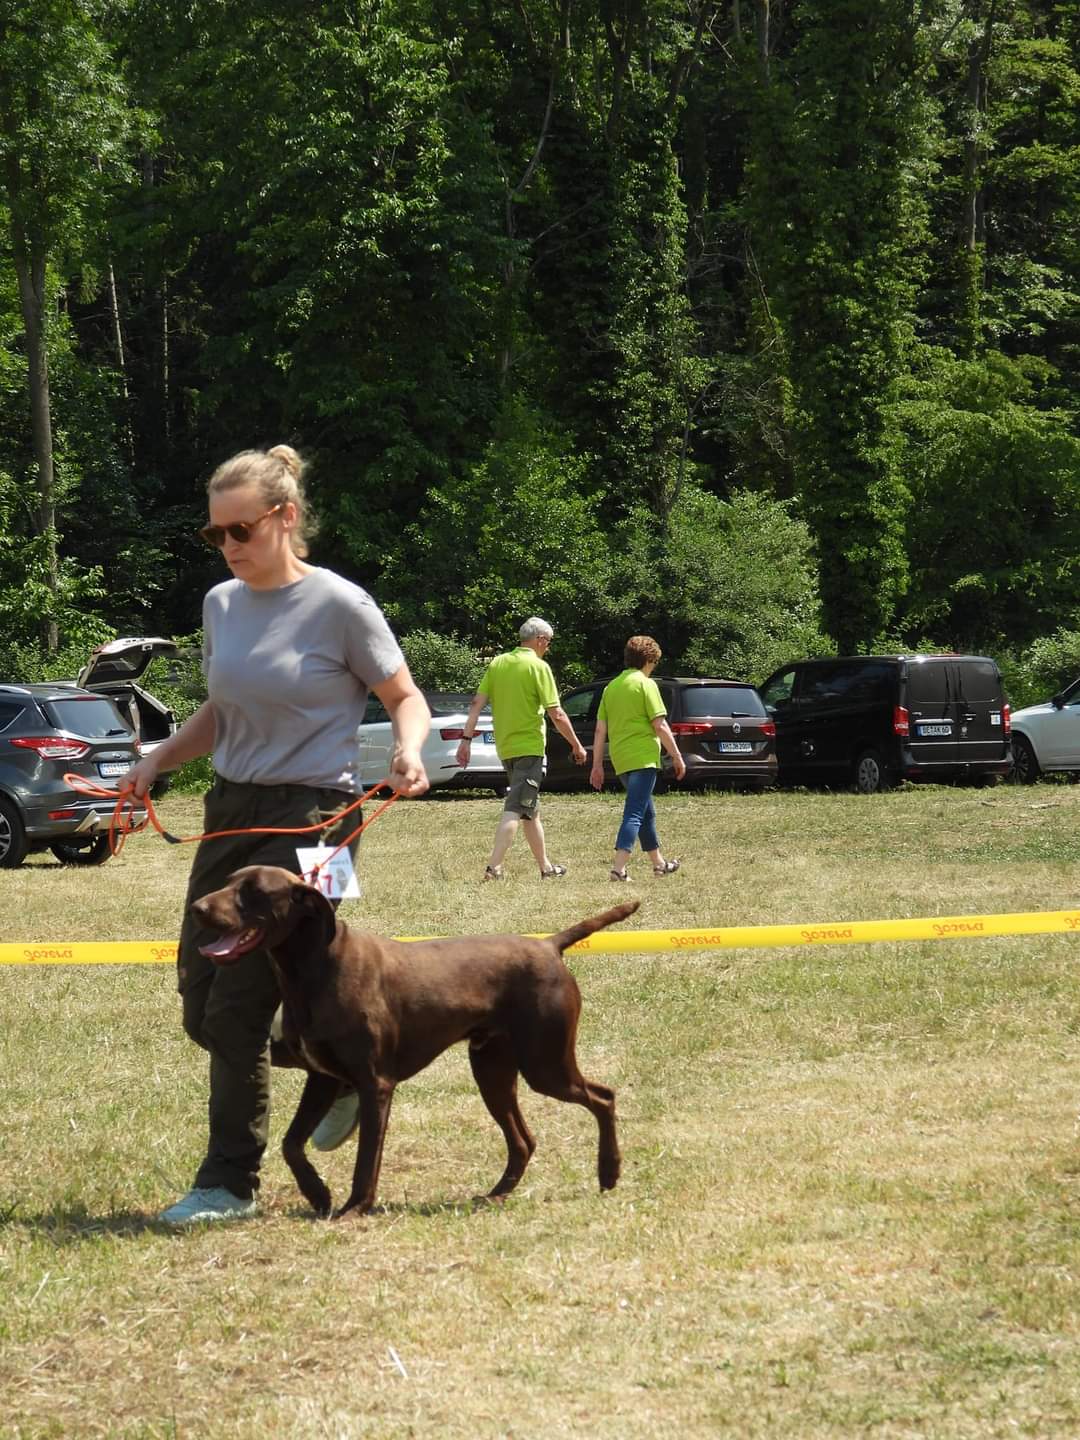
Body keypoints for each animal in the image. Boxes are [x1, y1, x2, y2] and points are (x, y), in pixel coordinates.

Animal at [191, 864, 639, 1215]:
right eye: (228, 882)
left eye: (253, 892)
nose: (197, 908)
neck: (316, 967)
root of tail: (548, 944)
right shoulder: (323, 1077)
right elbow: (290, 1144)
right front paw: (318, 1193)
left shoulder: (375, 1085)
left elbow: (366, 1160)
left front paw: (355, 1208)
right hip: (493, 1071)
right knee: (524, 1141)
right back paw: (497, 1195)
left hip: (545, 1065)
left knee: (603, 1098)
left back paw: (609, 1171)